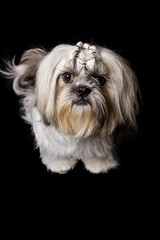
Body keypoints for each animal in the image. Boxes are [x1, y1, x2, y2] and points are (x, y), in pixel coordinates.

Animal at [1, 41, 139, 172]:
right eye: (67, 76)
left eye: (100, 79)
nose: (83, 89)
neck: (78, 123)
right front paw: (60, 163)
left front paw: (99, 163)